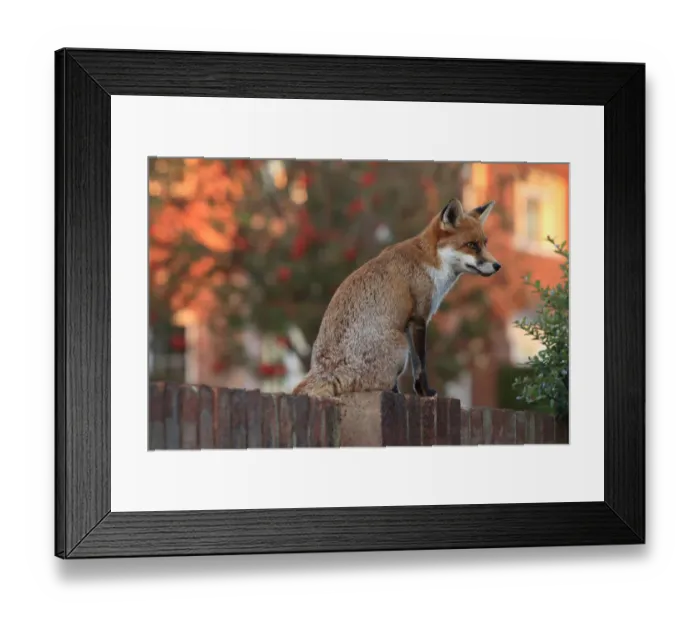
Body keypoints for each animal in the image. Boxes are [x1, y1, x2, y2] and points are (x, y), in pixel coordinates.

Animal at [292, 197, 501, 399]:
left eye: (485, 243)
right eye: (472, 245)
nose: (497, 266)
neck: (432, 262)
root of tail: (324, 371)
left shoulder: (408, 322)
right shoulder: (419, 317)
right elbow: (420, 363)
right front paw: (425, 392)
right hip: (401, 347)